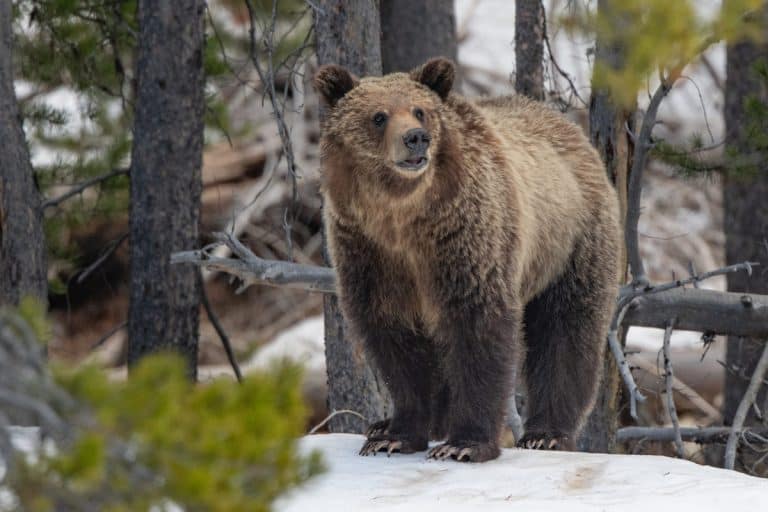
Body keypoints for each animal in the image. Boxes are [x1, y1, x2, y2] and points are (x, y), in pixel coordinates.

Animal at [314, 57, 620, 462]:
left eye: (420, 110)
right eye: (378, 116)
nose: (415, 138)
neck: (402, 219)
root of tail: (571, 128)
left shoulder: (466, 243)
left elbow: (477, 329)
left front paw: (464, 444)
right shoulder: (369, 255)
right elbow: (396, 344)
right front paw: (395, 435)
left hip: (569, 244)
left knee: (566, 330)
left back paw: (547, 433)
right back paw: (391, 425)